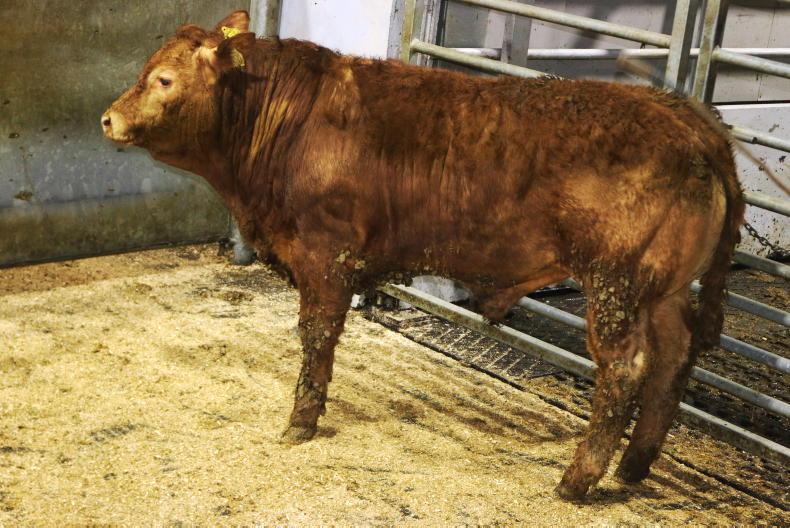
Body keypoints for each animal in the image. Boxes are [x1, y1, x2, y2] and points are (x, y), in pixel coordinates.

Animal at [101, 10, 744, 500]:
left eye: (163, 80)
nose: (108, 118)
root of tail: (683, 117)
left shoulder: (326, 254)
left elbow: (316, 337)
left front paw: (301, 422)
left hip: (616, 285)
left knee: (626, 369)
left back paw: (577, 480)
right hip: (661, 290)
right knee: (672, 360)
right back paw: (634, 468)